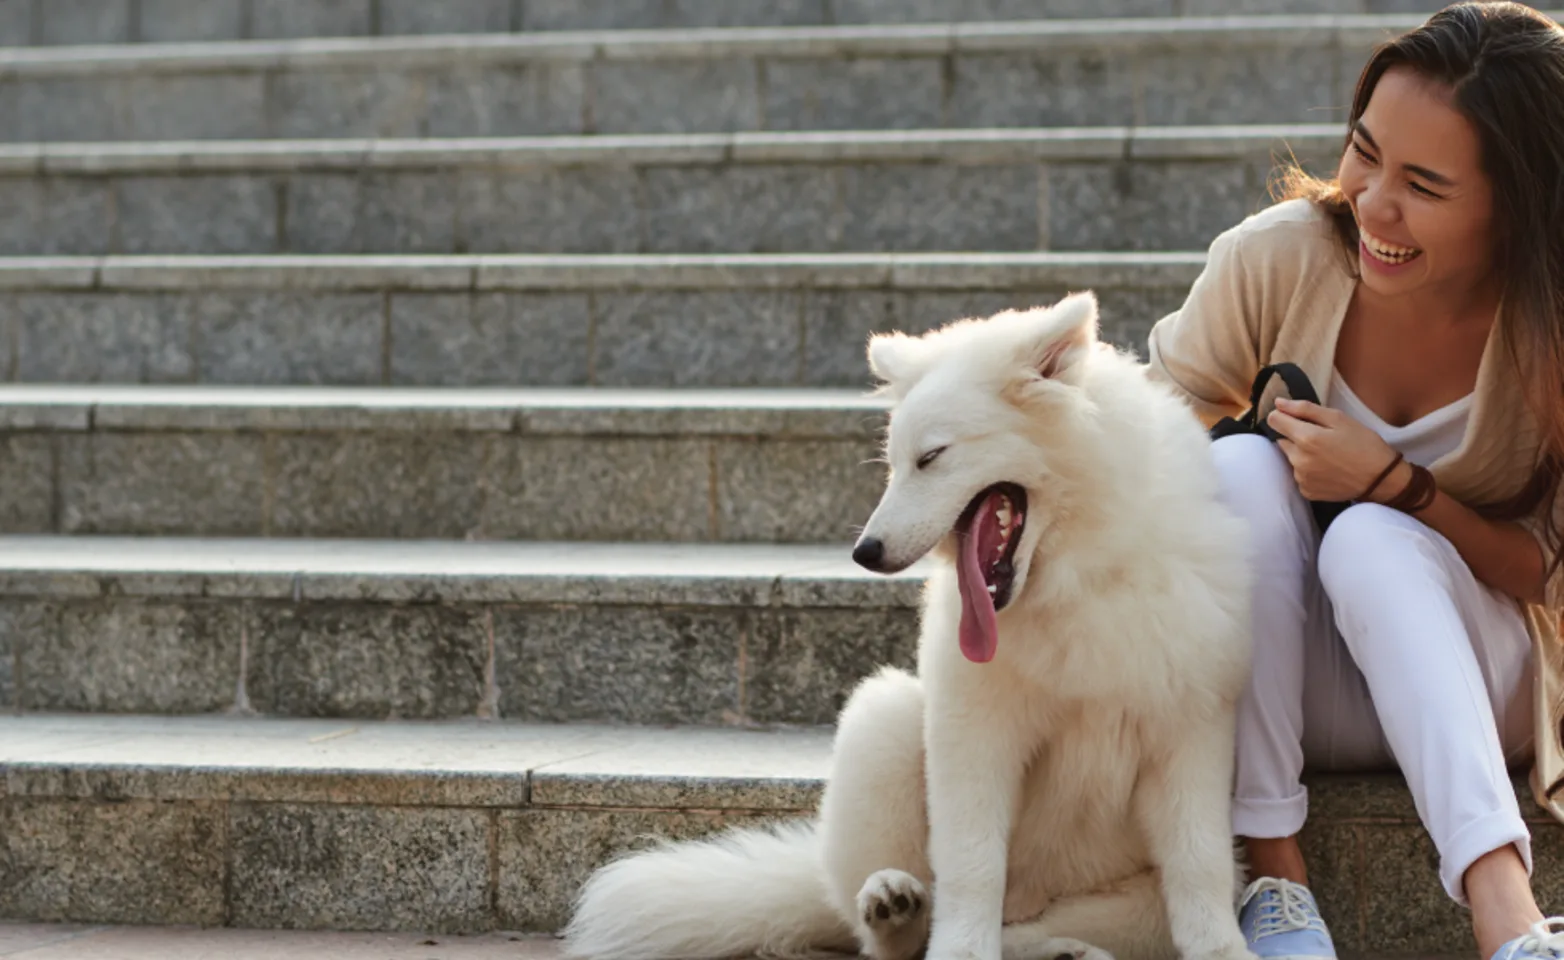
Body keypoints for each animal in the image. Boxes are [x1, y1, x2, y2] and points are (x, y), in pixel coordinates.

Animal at [563, 293, 1257, 960]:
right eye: (895, 463)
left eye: (932, 457)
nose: (864, 553)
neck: (1081, 574)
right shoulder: (973, 728)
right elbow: (972, 863)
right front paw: (963, 952)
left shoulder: (1191, 728)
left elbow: (1198, 862)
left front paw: (1225, 951)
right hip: (886, 717)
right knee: (889, 924)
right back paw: (895, 907)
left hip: (1135, 898)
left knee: (1052, 923)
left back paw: (1063, 949)